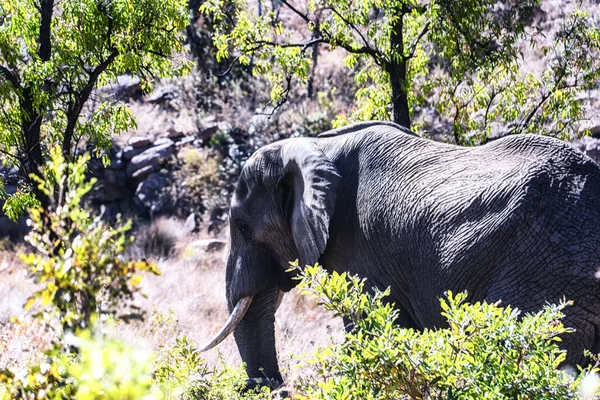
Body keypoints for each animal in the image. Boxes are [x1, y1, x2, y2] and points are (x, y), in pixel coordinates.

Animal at [200, 121, 600, 388]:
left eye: (243, 228)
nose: (278, 389)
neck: (316, 145)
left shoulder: (357, 246)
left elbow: (370, 328)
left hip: (549, 271)